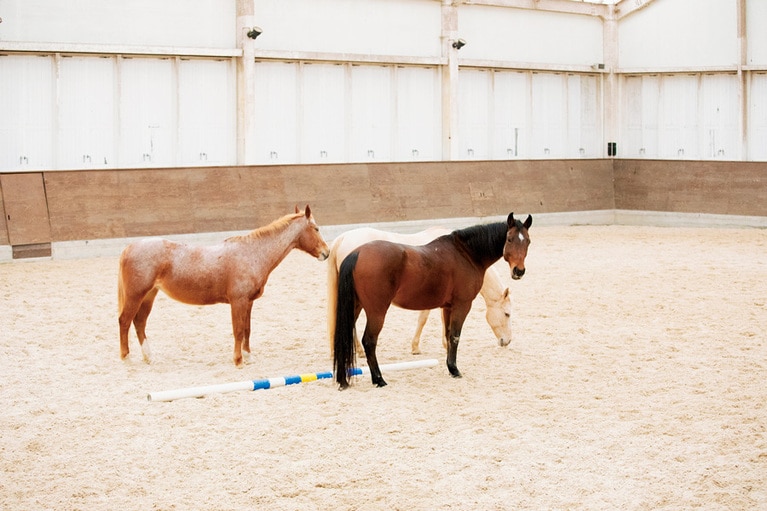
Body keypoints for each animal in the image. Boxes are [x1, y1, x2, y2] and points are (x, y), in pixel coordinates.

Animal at [118, 205, 329, 367]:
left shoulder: (248, 302)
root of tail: (130, 247)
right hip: (136, 295)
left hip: (149, 296)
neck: (252, 253)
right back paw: (127, 358)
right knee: (125, 321)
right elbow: (238, 330)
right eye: (316, 228)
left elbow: (247, 329)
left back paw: (148, 357)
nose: (326, 252)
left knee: (139, 322)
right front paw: (238, 360)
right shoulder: (238, 301)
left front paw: (248, 356)